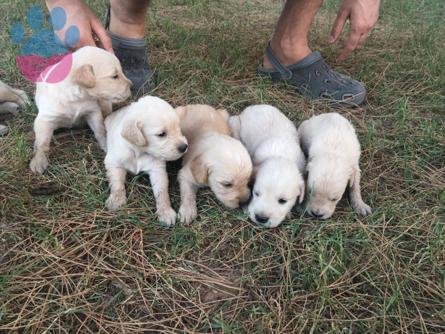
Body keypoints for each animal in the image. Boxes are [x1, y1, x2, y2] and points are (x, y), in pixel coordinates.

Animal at [28, 45, 130, 174]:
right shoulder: (45, 118)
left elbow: (100, 130)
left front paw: (107, 145)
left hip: (105, 104)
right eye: (114, 76)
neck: (76, 97)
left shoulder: (93, 112)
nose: (131, 85)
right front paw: (39, 160)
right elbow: (43, 143)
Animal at [104, 96, 187, 226]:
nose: (184, 147)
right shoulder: (113, 161)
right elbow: (116, 182)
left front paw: (165, 211)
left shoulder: (157, 169)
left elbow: (162, 192)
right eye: (161, 134)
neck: (138, 152)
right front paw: (116, 200)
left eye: (179, 128)